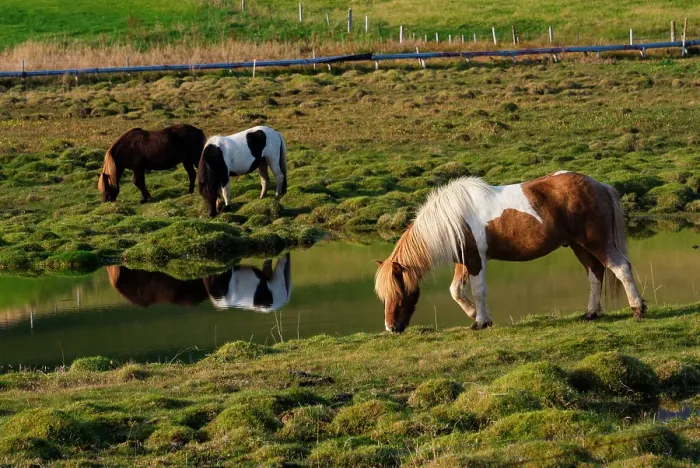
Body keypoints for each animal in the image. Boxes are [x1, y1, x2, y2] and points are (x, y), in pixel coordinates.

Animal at [375, 171, 647, 333]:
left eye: (399, 292)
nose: (391, 328)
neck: (454, 218)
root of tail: (599, 185)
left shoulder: (476, 260)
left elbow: (478, 290)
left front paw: (481, 321)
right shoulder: (464, 261)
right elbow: (456, 291)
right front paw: (476, 314)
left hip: (596, 242)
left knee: (621, 268)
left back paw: (637, 310)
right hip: (579, 246)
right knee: (595, 273)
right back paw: (592, 313)